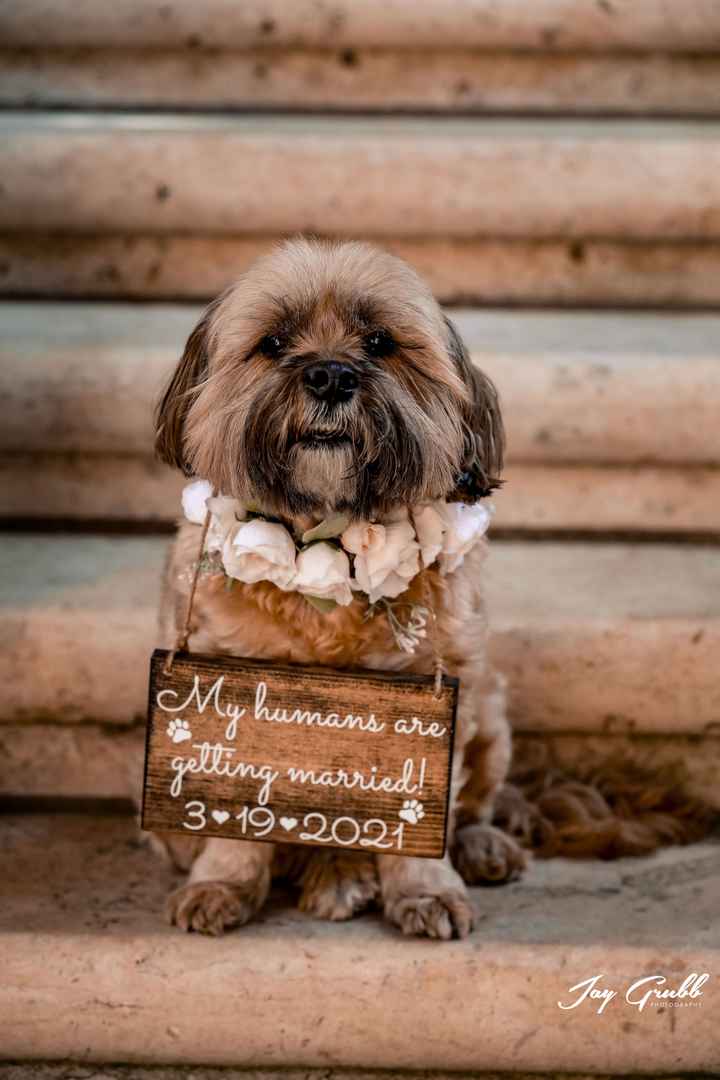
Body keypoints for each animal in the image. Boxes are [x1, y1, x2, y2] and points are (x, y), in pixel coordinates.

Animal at [152, 236, 526, 937]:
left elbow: (423, 813)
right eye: (273, 342)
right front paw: (223, 883)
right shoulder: (228, 685)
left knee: (476, 803)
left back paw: (477, 846)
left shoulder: (438, 702)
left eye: (379, 341)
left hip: (488, 710)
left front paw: (425, 890)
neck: (329, 546)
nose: (330, 375)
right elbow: (233, 818)